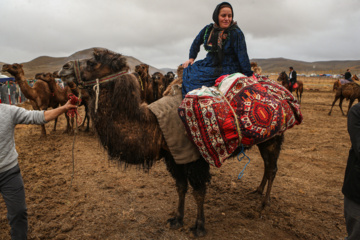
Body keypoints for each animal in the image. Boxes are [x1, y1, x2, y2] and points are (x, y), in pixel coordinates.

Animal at [58, 47, 284, 237]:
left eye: (93, 62)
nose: (63, 67)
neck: (155, 124)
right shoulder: (173, 155)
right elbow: (181, 187)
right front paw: (177, 219)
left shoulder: (194, 157)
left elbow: (198, 192)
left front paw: (199, 226)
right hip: (265, 139)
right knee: (267, 165)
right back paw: (257, 191)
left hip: (274, 137)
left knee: (272, 167)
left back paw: (264, 203)